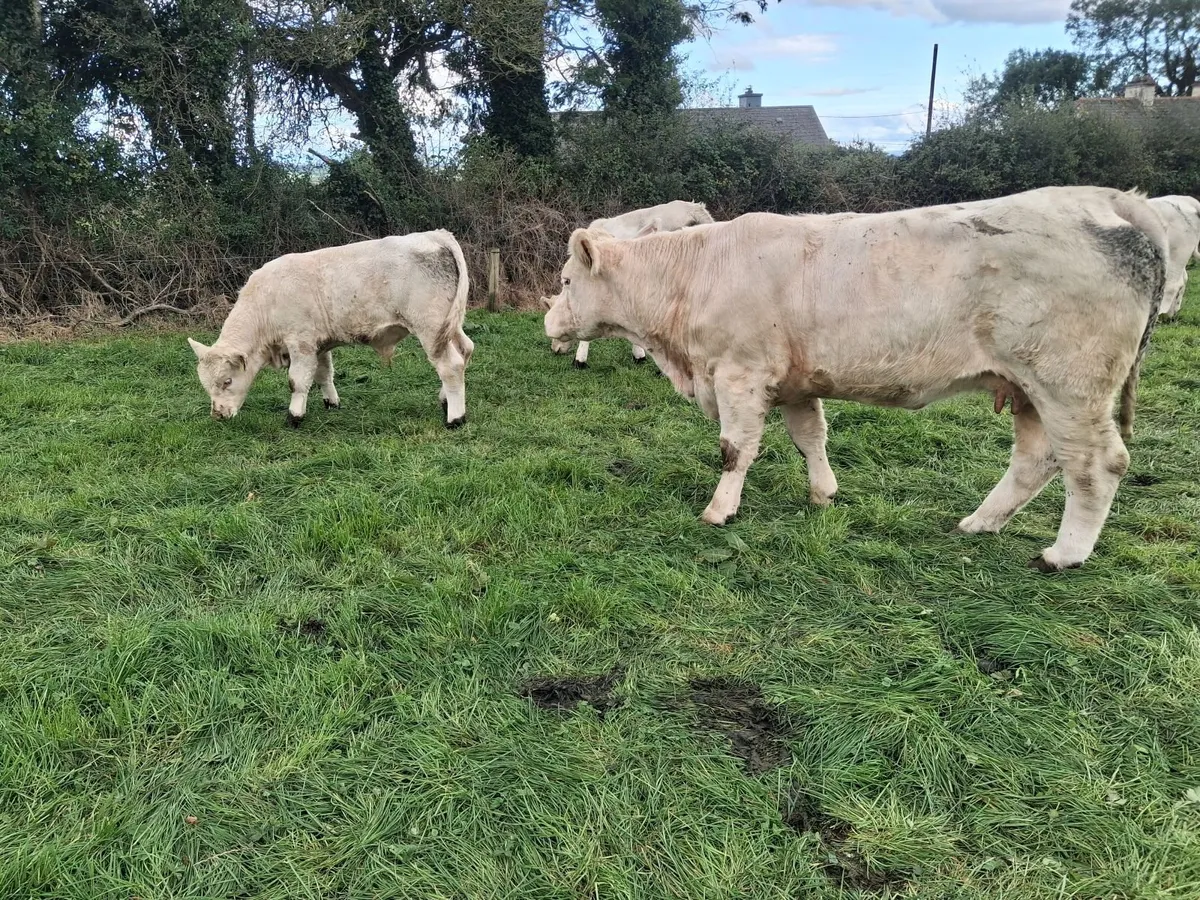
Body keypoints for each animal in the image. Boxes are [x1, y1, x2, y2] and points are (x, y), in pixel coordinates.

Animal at [189, 230, 474, 429]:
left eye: (227, 381)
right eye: (205, 384)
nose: (218, 415)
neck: (266, 303)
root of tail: (434, 234)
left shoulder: (301, 342)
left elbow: (297, 381)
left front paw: (294, 416)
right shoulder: (320, 345)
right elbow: (324, 375)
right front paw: (331, 403)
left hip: (431, 327)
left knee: (450, 366)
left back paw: (455, 418)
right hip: (450, 327)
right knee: (465, 350)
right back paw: (445, 400)